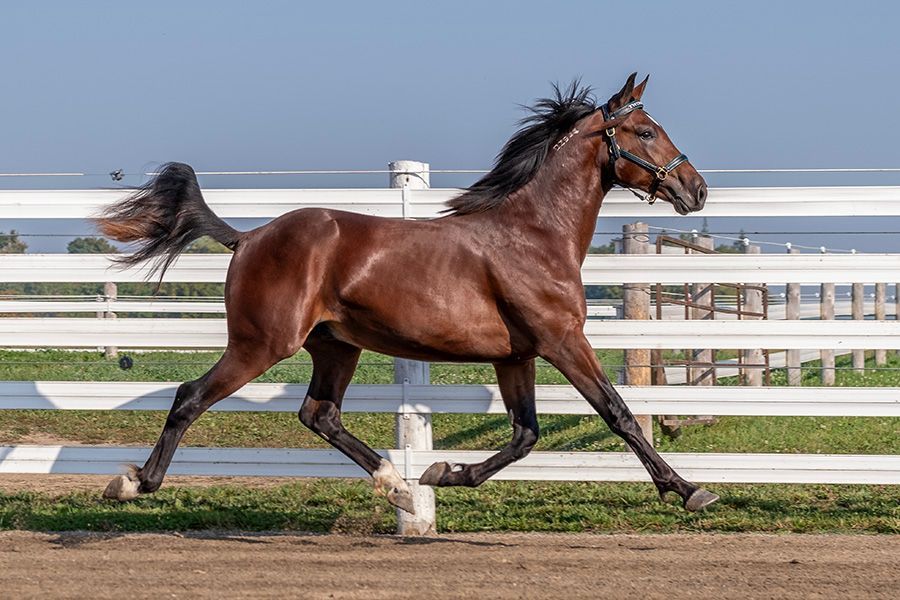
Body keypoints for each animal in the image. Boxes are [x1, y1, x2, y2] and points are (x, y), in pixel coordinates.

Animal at [95, 72, 717, 515]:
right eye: (644, 131)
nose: (697, 189)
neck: (535, 235)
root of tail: (249, 237)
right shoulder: (562, 341)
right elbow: (619, 414)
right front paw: (690, 491)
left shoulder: (515, 356)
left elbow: (525, 435)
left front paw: (443, 473)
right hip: (261, 344)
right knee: (191, 397)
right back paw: (132, 483)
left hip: (336, 347)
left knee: (319, 415)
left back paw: (397, 485)